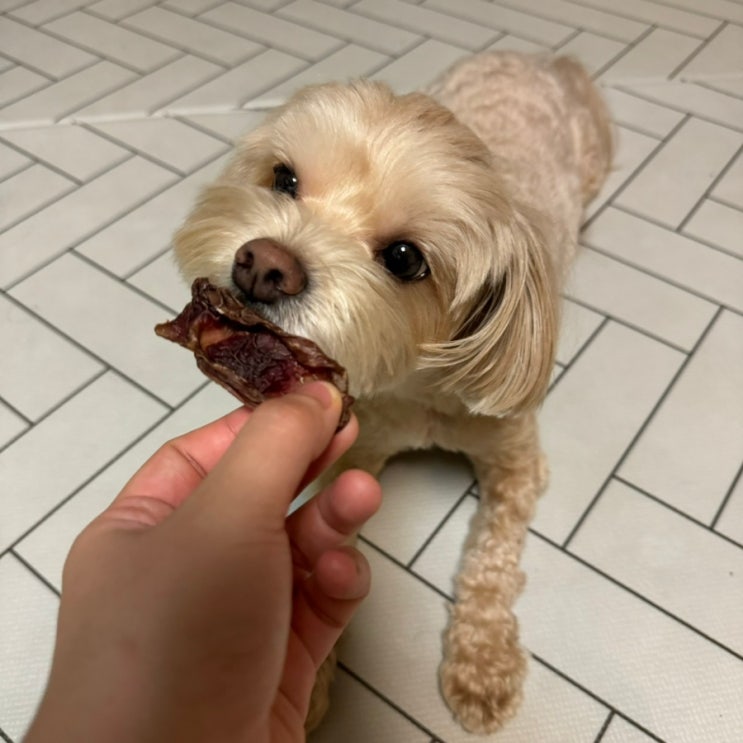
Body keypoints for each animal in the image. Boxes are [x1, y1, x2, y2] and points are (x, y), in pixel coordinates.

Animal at [172, 51, 612, 734]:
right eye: (284, 179)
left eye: (405, 258)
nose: (264, 265)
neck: (417, 384)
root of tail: (536, 57)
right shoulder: (360, 445)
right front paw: (311, 672)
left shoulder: (516, 462)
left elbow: (492, 561)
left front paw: (483, 663)